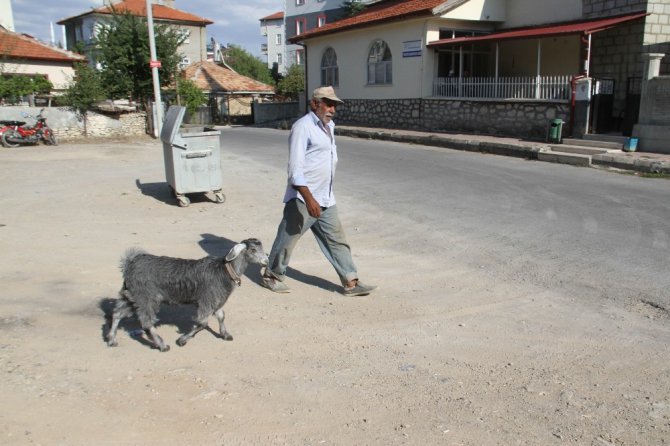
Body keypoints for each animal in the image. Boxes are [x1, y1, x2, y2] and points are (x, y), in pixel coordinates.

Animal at [105, 239, 268, 350]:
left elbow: (221, 316)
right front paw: (182, 340)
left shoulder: (216, 302)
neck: (225, 270)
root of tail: (129, 264)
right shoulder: (206, 301)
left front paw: (225, 334)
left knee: (117, 313)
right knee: (146, 322)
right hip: (147, 298)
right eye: (253, 249)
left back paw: (112, 339)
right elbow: (202, 323)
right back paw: (162, 345)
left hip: (131, 296)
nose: (266, 261)